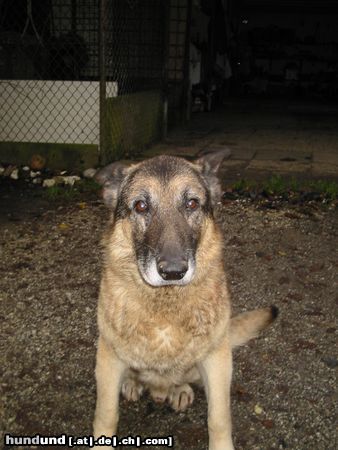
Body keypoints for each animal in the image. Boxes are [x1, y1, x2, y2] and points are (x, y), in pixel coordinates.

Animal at [92, 149, 278, 448]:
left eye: (191, 203)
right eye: (141, 206)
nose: (173, 272)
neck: (165, 304)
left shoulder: (217, 363)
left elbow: (219, 419)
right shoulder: (108, 360)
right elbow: (106, 416)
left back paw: (177, 389)